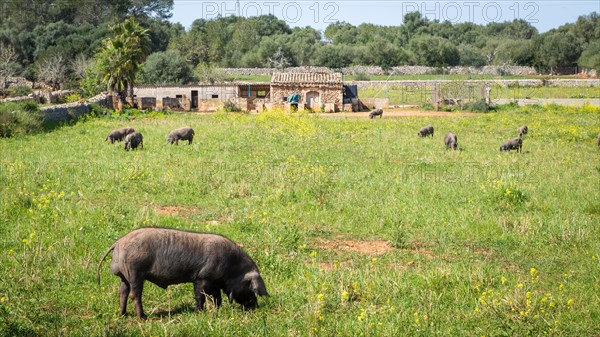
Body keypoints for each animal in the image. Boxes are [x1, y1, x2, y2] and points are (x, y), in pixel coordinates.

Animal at [97, 227, 268, 318]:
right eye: (250, 287)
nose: (255, 306)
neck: (232, 267)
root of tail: (118, 243)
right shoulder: (202, 277)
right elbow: (200, 297)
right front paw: (199, 312)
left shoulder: (213, 282)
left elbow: (216, 298)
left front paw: (216, 311)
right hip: (135, 272)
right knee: (135, 294)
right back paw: (143, 317)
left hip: (125, 276)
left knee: (123, 292)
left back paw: (123, 314)